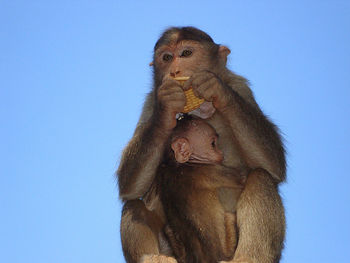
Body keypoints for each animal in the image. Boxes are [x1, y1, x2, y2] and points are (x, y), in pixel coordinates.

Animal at [160, 115, 247, 263]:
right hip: (227, 251)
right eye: (213, 144)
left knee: (167, 229)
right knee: (229, 216)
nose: (221, 152)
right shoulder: (209, 170)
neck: (179, 164)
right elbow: (242, 177)